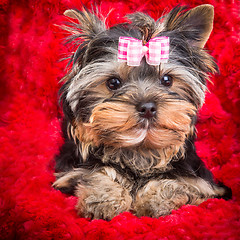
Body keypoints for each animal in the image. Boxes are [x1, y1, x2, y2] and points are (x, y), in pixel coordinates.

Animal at [53, 5, 231, 219]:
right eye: (113, 83)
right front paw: (104, 199)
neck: (139, 151)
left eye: (167, 80)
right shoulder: (70, 172)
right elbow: (97, 172)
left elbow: (178, 182)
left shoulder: (202, 183)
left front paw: (156, 199)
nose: (147, 107)